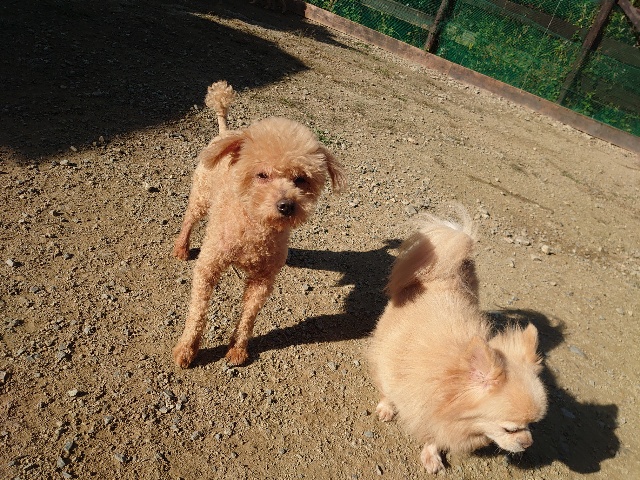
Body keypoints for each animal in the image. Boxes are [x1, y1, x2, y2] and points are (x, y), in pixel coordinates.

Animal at [172, 81, 346, 368]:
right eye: (262, 175)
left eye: (301, 179)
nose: (286, 205)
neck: (255, 228)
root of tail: (226, 131)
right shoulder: (209, 265)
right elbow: (197, 311)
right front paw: (186, 350)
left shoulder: (263, 280)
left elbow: (249, 317)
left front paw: (237, 350)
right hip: (201, 195)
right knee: (189, 219)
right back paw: (181, 248)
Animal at [368, 213, 547, 473]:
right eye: (510, 429)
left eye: (532, 425)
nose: (528, 443)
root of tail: (445, 272)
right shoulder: (405, 384)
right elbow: (394, 396)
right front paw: (388, 408)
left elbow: (436, 434)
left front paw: (432, 453)